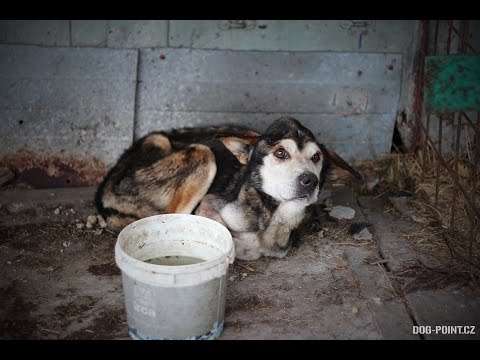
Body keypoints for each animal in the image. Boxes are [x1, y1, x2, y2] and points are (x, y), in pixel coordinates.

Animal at [95, 116, 362, 260]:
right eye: (280, 153)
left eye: (316, 157)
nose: (310, 180)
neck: (274, 213)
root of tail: (105, 186)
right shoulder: (210, 202)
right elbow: (228, 238)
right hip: (202, 155)